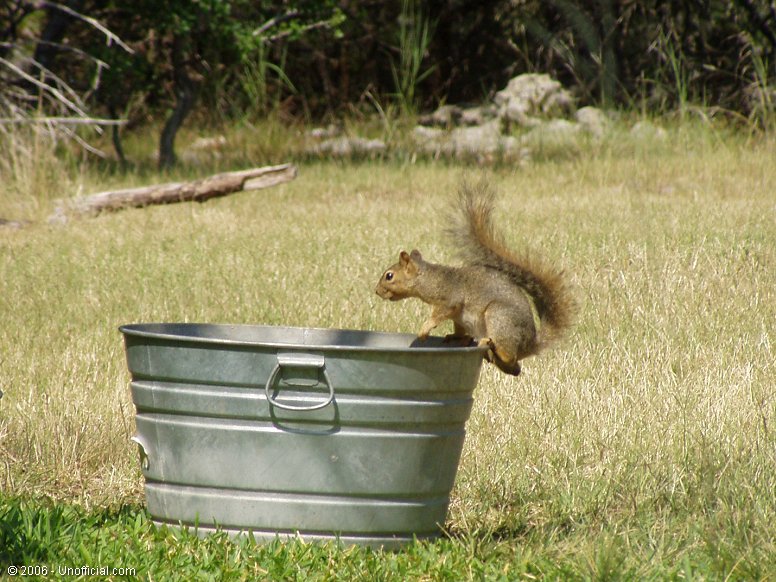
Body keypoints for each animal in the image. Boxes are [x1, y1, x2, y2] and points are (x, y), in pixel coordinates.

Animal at [376, 180, 576, 376]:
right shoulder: (457, 316)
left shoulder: (450, 298)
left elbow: (440, 313)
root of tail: (531, 345)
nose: (377, 291)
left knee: (510, 357)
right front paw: (456, 336)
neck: (428, 278)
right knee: (514, 368)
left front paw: (425, 329)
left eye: (389, 276)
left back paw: (492, 346)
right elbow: (457, 326)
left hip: (499, 317)